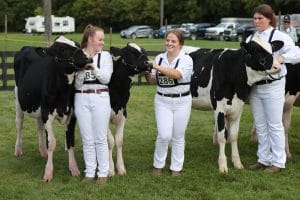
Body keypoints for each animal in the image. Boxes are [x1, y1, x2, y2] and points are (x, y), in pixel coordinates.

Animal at [14, 35, 91, 181]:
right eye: (62, 49)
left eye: (77, 44)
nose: (87, 57)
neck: (64, 93)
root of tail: (28, 47)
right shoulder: (47, 114)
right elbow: (52, 143)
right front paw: (48, 172)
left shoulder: (72, 115)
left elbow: (70, 141)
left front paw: (74, 168)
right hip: (18, 101)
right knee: (19, 125)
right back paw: (18, 150)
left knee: (39, 127)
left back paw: (43, 151)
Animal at [67, 42, 150, 177]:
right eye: (131, 52)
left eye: (144, 51)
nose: (149, 63)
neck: (118, 90)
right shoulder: (104, 117)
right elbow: (110, 141)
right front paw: (110, 169)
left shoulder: (123, 114)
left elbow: (119, 140)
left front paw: (120, 167)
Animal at [190, 36, 284, 173]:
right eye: (256, 50)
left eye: (272, 50)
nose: (277, 66)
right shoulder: (219, 108)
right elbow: (222, 136)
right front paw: (223, 165)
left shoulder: (238, 107)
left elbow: (234, 135)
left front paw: (237, 163)